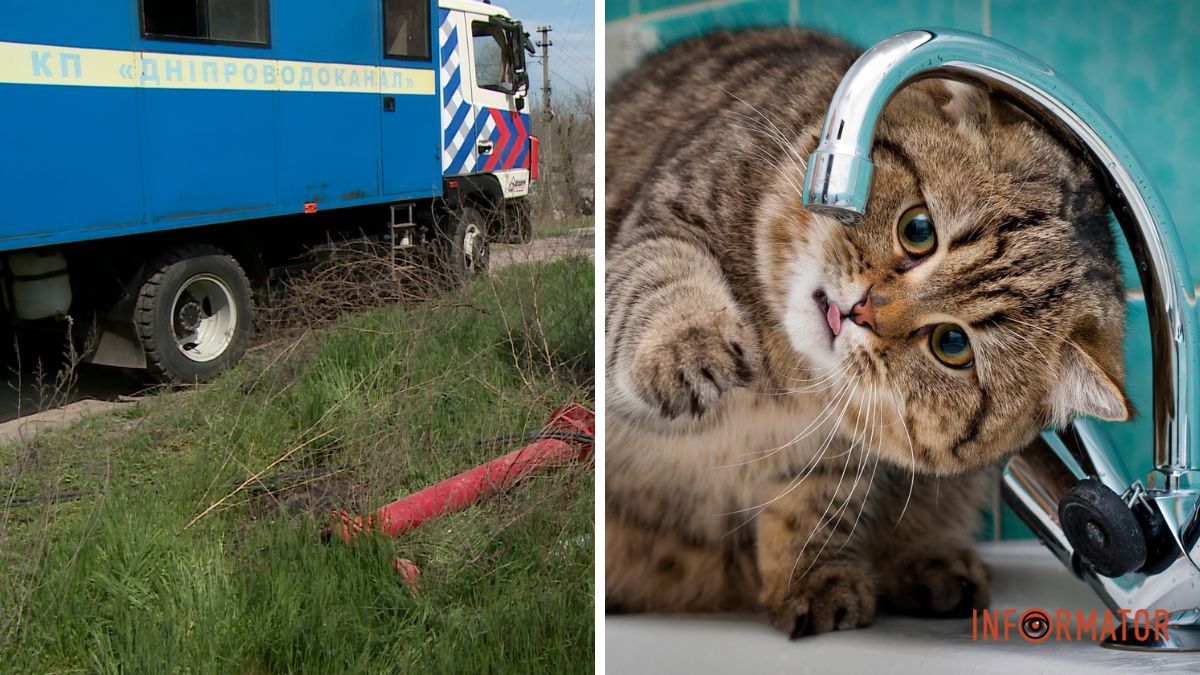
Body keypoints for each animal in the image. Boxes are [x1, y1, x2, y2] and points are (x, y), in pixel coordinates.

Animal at [604, 27, 1128, 634]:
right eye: (918, 230)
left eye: (953, 345)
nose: (860, 312)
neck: (783, 376)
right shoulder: (665, 222)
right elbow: (659, 278)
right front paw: (691, 346)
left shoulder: (836, 460)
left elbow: (812, 515)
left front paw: (811, 583)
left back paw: (931, 569)